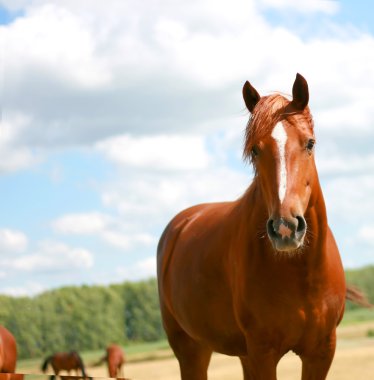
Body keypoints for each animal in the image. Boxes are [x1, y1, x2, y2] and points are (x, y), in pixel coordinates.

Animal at [157, 72, 368, 378]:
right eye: (255, 150)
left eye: (310, 143)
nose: (285, 228)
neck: (301, 274)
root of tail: (181, 224)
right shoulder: (263, 353)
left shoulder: (321, 351)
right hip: (191, 350)